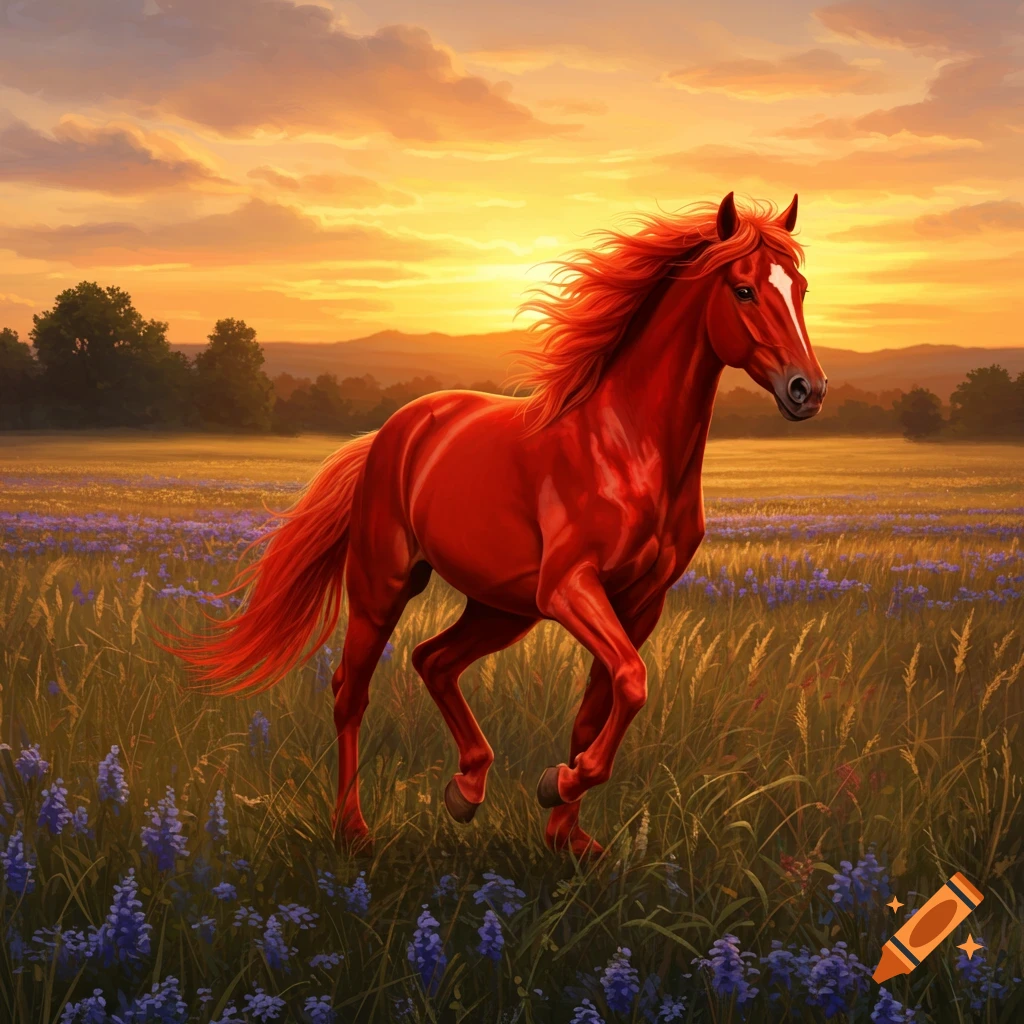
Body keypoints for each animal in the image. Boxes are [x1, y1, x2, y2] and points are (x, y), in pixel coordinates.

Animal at [172, 191, 828, 857]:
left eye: (800, 287)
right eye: (743, 290)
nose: (808, 390)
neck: (626, 445)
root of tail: (393, 431)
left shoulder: (641, 603)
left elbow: (602, 703)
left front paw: (567, 834)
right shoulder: (569, 587)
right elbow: (633, 681)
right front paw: (558, 784)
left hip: (502, 607)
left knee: (433, 660)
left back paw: (466, 789)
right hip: (385, 585)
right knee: (350, 690)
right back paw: (352, 828)